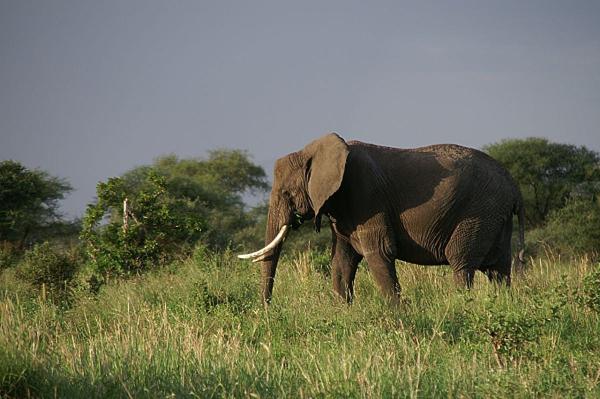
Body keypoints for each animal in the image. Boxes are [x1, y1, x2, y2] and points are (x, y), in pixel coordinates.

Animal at [239, 133, 524, 304]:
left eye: (286, 193)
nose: (267, 310)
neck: (313, 150)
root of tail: (513, 185)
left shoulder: (366, 194)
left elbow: (379, 251)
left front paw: (398, 313)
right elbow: (341, 260)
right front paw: (343, 311)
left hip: (478, 212)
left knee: (461, 262)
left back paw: (461, 304)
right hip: (495, 216)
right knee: (498, 269)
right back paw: (503, 304)